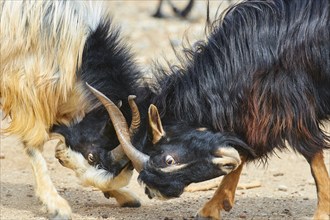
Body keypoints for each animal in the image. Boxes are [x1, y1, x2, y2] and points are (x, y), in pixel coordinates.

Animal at [0, 0, 147, 219]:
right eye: (92, 156)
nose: (60, 155)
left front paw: (125, 196)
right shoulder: (24, 85)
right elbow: (33, 144)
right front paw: (56, 205)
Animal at [87, 0, 330, 218]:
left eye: (168, 160)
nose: (152, 192)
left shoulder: (291, 108)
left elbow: (312, 157)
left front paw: (322, 212)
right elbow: (240, 152)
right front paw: (211, 208)